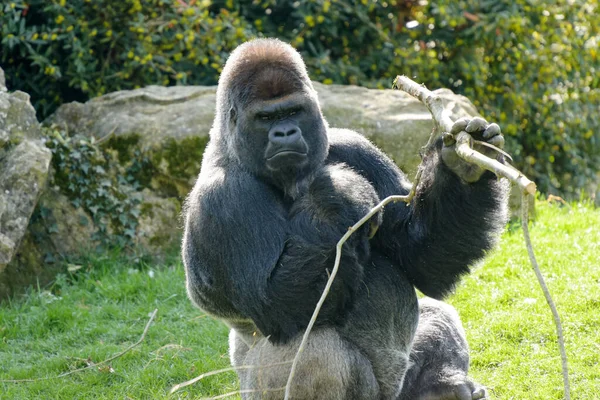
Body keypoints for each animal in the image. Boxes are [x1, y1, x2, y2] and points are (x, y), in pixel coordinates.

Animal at [182, 38, 506, 400]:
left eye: (293, 111)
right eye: (265, 118)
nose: (285, 132)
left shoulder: (355, 145)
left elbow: (419, 256)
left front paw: (464, 166)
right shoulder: (225, 198)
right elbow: (276, 303)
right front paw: (339, 194)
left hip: (400, 389)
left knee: (438, 312)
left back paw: (442, 386)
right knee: (313, 352)